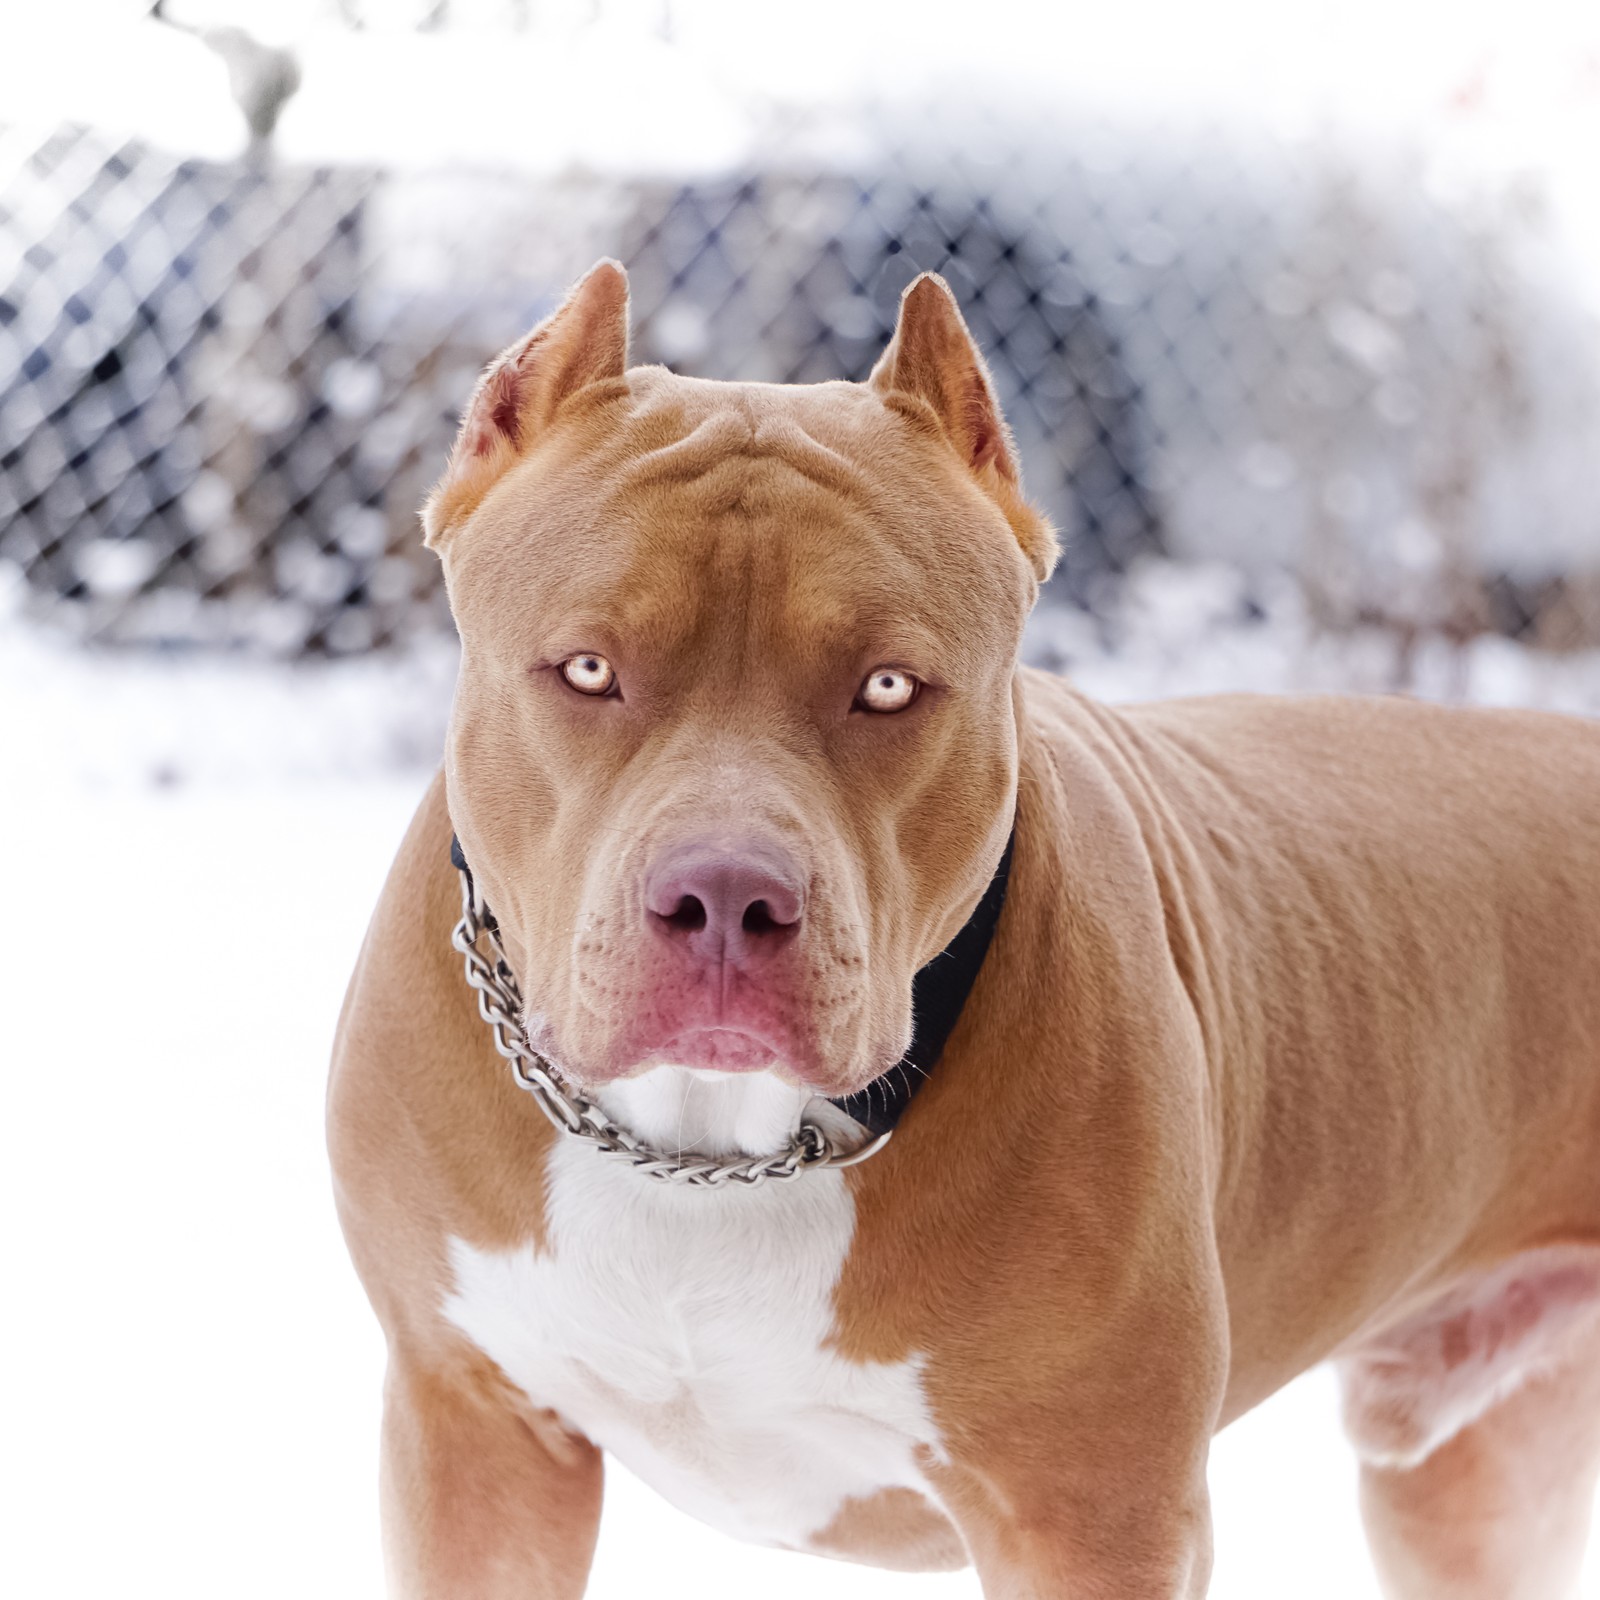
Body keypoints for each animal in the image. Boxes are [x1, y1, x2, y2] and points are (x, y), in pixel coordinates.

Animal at [331, 262, 1600, 1600]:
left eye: (888, 686)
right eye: (584, 669)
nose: (725, 898)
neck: (711, 1153)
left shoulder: (1090, 1514)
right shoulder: (475, 1440)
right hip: (1471, 1485)